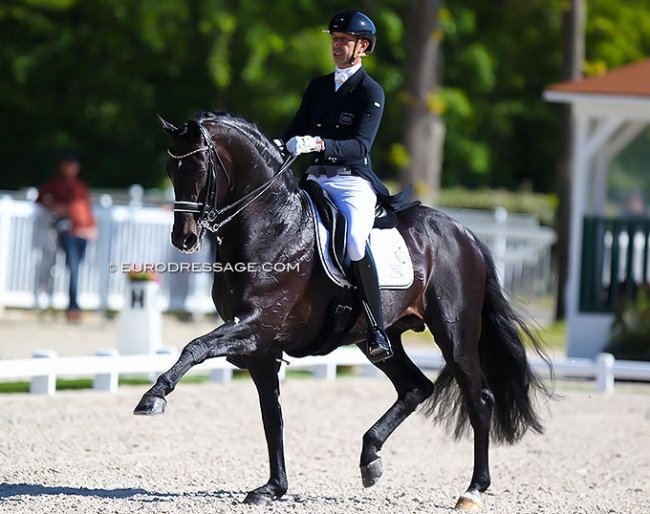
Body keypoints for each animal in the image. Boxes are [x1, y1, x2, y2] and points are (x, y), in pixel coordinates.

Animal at [134, 111, 548, 508]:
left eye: (200, 168)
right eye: (171, 170)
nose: (184, 238)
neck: (272, 226)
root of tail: (464, 234)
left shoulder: (255, 326)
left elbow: (196, 347)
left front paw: (153, 397)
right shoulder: (262, 349)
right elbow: (272, 417)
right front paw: (272, 488)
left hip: (455, 335)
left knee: (479, 400)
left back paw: (473, 490)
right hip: (378, 337)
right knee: (416, 386)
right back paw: (370, 458)